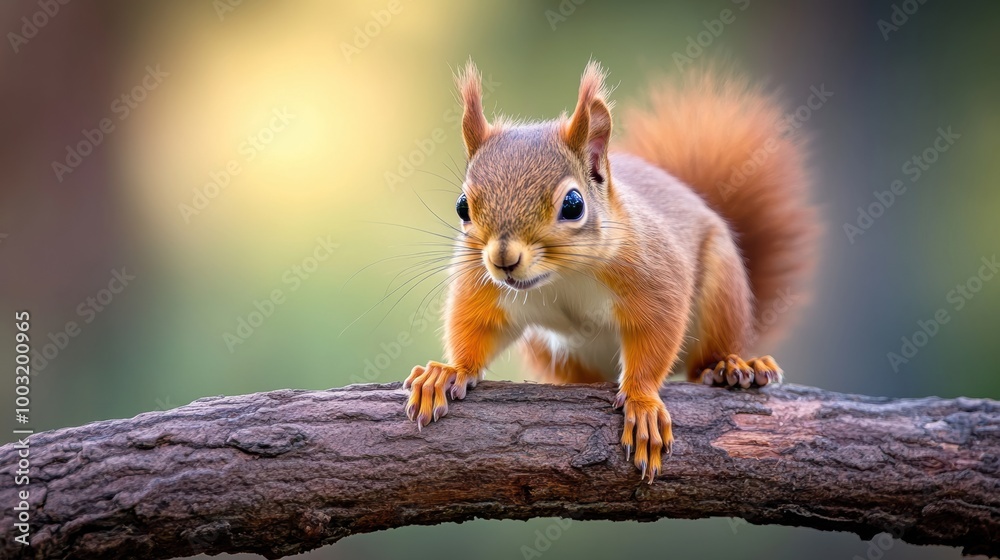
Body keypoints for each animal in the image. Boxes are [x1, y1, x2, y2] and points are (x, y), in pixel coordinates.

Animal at [404, 59, 816, 483]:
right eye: (462, 206)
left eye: (573, 204)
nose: (503, 260)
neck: (563, 276)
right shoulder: (484, 285)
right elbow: (476, 325)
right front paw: (449, 371)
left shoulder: (654, 277)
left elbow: (655, 335)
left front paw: (642, 402)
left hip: (722, 288)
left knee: (707, 357)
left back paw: (733, 365)